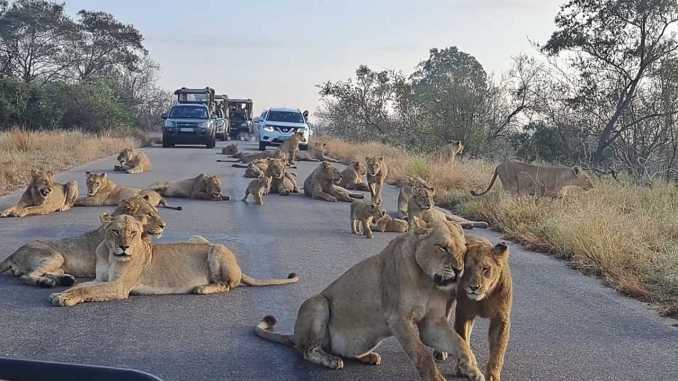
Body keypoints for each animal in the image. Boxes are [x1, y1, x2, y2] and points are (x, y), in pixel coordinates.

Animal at [0, 194, 166, 286]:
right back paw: (46, 283)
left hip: (59, 264)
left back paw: (64, 280)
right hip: (56, 256)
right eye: (149, 214)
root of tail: (14, 253)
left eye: (156, 211)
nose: (164, 225)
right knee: (27, 276)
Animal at [49, 214, 298, 306]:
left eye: (133, 233)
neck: (111, 255)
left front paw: (65, 298)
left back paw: (202, 288)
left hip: (216, 249)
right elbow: (81, 285)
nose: (124, 246)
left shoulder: (119, 287)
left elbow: (86, 290)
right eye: (116, 231)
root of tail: (239, 266)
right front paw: (60, 293)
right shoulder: (102, 279)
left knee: (227, 285)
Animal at [254, 220, 484, 380]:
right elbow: (422, 355)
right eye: (442, 247)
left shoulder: (432, 324)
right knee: (307, 350)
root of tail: (293, 335)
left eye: (464, 250)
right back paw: (331, 360)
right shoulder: (399, 319)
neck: (427, 282)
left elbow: (460, 343)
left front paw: (472, 370)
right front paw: (438, 378)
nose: (459, 270)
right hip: (317, 303)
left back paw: (367, 357)